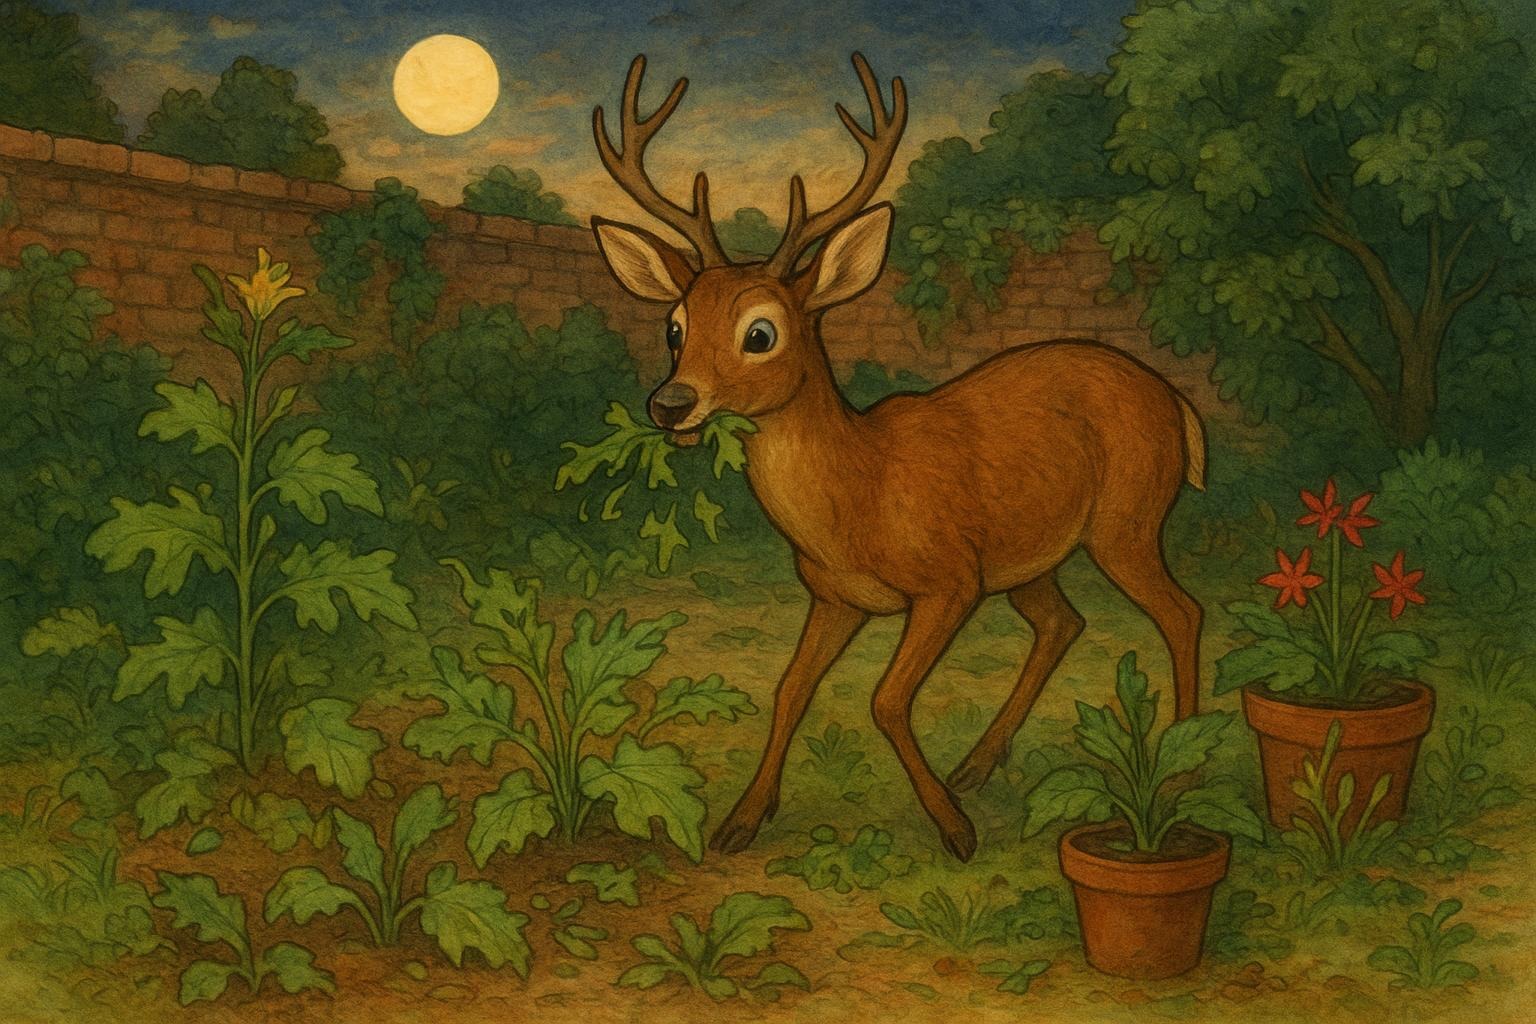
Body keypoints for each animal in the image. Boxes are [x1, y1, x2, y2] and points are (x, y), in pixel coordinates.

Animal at [589, 52, 1207, 861]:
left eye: (761, 333)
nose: (670, 405)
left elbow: (884, 699)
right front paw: (742, 821)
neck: (859, 492)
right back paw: (979, 762)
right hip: (1031, 556)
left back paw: (1182, 766)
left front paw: (953, 828)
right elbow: (790, 689)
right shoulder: (834, 596)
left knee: (1183, 613)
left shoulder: (948, 581)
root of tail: (1178, 405)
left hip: (1126, 520)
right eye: (674, 327)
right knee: (1063, 622)